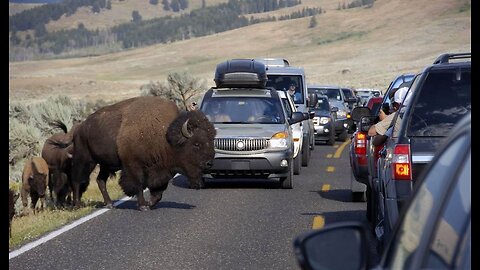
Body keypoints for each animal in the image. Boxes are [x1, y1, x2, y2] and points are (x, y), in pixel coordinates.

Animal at [70, 96, 216, 210]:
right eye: (196, 144)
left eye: (211, 140)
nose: (209, 163)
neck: (165, 136)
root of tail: (80, 127)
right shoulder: (133, 167)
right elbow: (138, 185)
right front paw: (143, 206)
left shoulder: (161, 170)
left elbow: (158, 193)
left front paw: (150, 204)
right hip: (86, 160)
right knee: (77, 179)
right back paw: (77, 205)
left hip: (106, 165)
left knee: (100, 180)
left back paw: (109, 204)